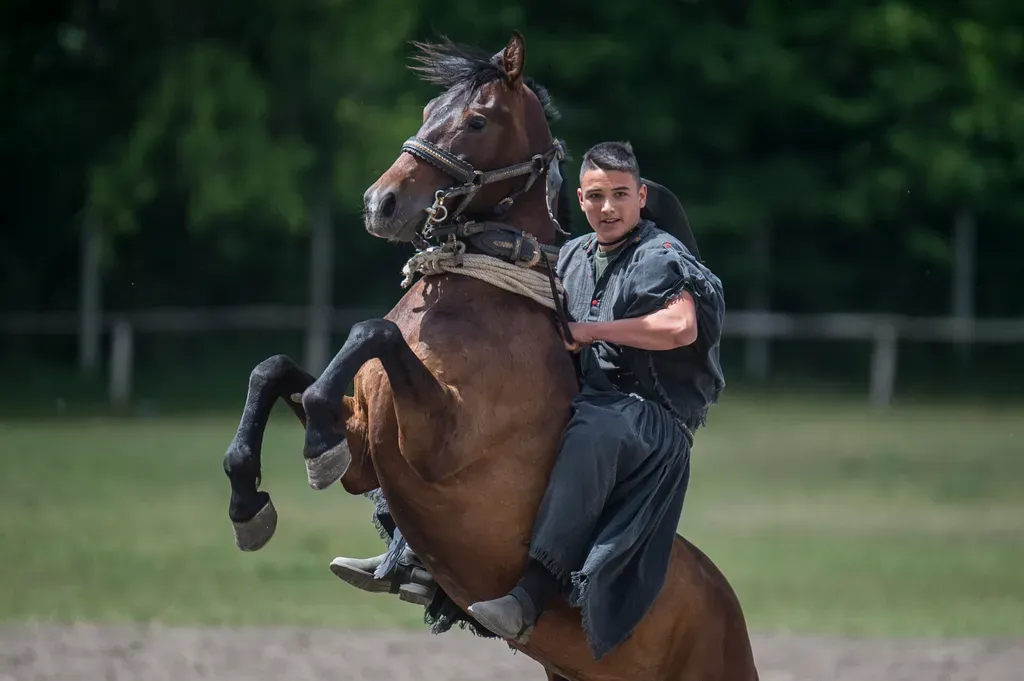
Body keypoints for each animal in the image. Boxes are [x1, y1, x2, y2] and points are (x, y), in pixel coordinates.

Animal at [220, 30, 757, 679]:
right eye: (428, 110)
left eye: (476, 121)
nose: (381, 203)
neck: (477, 295)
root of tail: (728, 606)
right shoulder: (367, 452)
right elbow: (273, 371)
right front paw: (249, 501)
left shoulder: (438, 441)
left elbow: (373, 333)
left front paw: (311, 449)